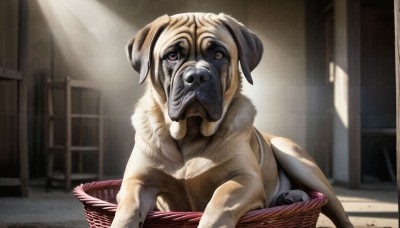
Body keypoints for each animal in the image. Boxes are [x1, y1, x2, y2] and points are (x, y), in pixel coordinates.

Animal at [110, 12, 354, 228]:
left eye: (219, 55)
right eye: (172, 55)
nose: (196, 77)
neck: (191, 134)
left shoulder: (245, 178)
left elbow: (219, 202)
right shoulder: (137, 180)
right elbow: (129, 208)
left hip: (296, 159)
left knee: (339, 213)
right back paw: (289, 197)